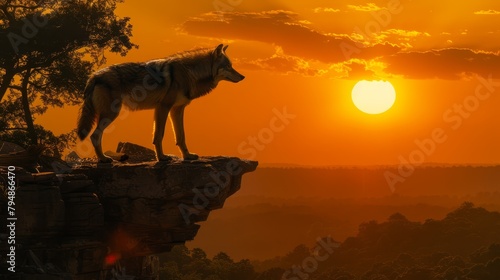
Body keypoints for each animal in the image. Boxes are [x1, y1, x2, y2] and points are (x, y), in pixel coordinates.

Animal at [75, 43, 244, 162]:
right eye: (228, 66)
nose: (243, 77)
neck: (189, 73)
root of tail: (94, 76)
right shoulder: (164, 107)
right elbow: (159, 135)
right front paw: (162, 158)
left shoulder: (177, 109)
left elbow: (181, 136)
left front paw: (187, 156)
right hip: (111, 113)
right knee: (94, 136)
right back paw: (103, 159)